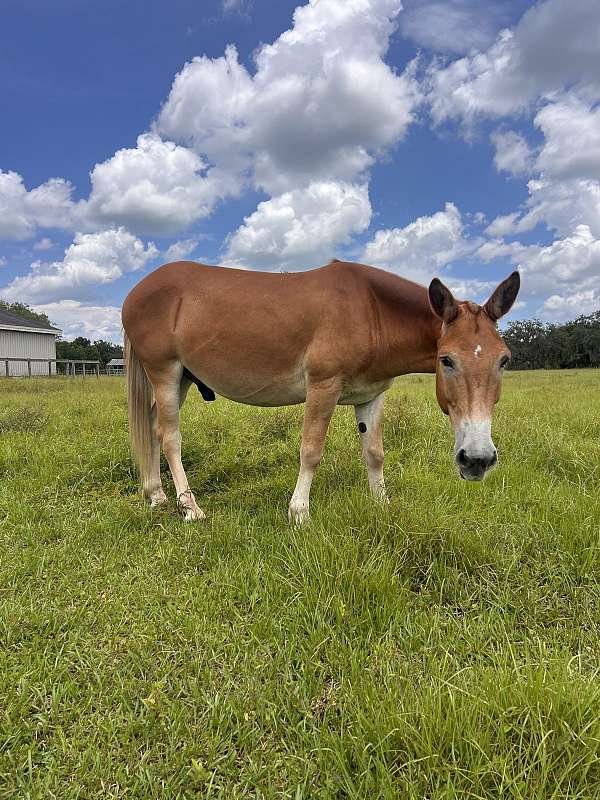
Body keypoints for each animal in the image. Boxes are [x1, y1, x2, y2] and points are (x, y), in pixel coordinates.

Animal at [122, 260, 520, 523]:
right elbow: (311, 450)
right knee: (170, 435)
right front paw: (299, 512)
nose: (477, 459)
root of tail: (135, 292)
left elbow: (374, 453)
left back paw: (156, 494)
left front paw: (382, 504)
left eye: (504, 360)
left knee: (153, 425)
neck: (371, 311)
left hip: (183, 377)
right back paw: (190, 507)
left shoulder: (371, 396)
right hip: (165, 371)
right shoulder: (323, 388)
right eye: (447, 360)